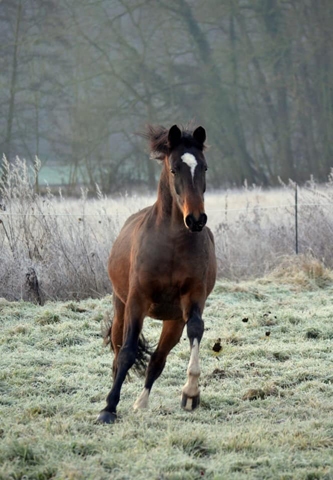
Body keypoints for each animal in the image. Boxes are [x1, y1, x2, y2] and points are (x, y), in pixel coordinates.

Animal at [96, 124, 215, 424]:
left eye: (204, 167)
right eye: (174, 169)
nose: (196, 220)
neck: (171, 243)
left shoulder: (193, 298)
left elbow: (196, 330)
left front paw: (191, 394)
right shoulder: (137, 300)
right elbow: (127, 352)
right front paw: (108, 409)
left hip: (172, 321)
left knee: (158, 359)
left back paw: (141, 403)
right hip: (121, 307)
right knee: (118, 351)